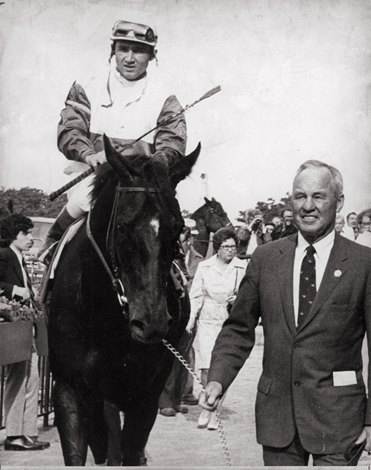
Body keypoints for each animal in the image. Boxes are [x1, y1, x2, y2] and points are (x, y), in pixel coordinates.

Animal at [48, 137, 202, 466]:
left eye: (177, 228)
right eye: (121, 227)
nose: (152, 323)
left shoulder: (143, 395)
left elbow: (130, 448)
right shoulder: (69, 389)